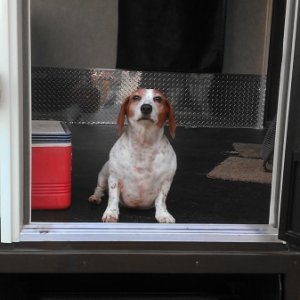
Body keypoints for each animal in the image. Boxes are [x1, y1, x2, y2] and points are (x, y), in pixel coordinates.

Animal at [89, 87, 178, 223]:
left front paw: (163, 214)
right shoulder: (114, 178)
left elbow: (161, 200)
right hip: (103, 176)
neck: (143, 146)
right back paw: (96, 197)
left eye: (158, 99)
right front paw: (111, 213)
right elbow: (113, 198)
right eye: (136, 97)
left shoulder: (166, 182)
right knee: (99, 188)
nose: (146, 108)